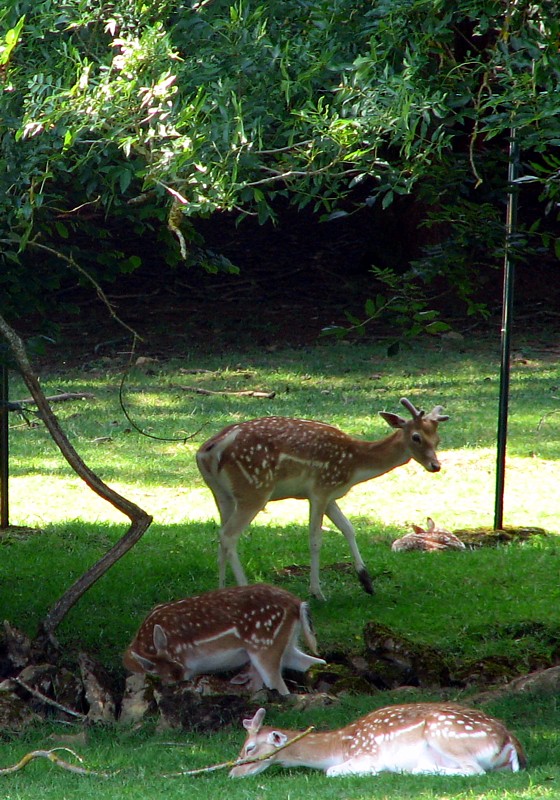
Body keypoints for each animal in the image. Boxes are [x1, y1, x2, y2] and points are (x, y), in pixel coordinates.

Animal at [122, 580, 324, 692]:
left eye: (176, 669)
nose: (182, 677)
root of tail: (297, 604)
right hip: (287, 646)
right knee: (315, 662)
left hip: (265, 644)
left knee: (279, 685)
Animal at [197, 396, 450, 596]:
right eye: (416, 437)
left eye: (437, 440)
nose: (435, 466)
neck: (355, 465)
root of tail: (207, 451)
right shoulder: (320, 488)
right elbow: (316, 539)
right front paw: (317, 592)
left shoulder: (331, 495)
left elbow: (348, 528)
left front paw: (366, 582)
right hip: (254, 489)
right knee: (229, 535)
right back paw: (244, 587)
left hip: (223, 494)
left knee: (221, 535)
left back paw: (222, 589)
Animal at [230, 704, 528, 780]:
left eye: (250, 748)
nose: (232, 772)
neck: (340, 745)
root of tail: (510, 742)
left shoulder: (367, 754)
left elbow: (331, 771)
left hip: (445, 733)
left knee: (474, 770)